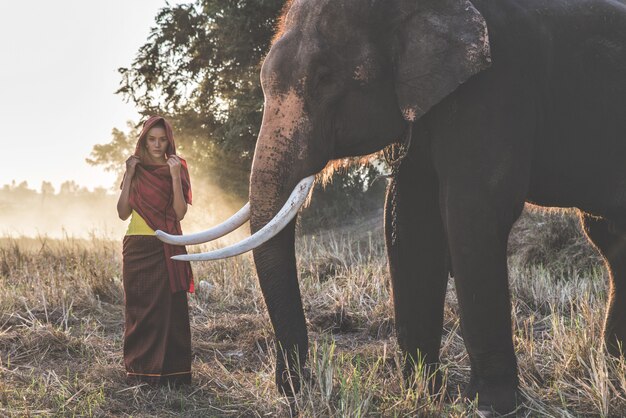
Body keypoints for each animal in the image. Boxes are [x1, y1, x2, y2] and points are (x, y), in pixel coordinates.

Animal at [157, 0, 626, 412]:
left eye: (325, 78)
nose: (299, 385)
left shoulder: (497, 89)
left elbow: (472, 213)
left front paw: (490, 406)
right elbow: (410, 216)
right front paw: (424, 393)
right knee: (609, 239)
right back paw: (613, 373)